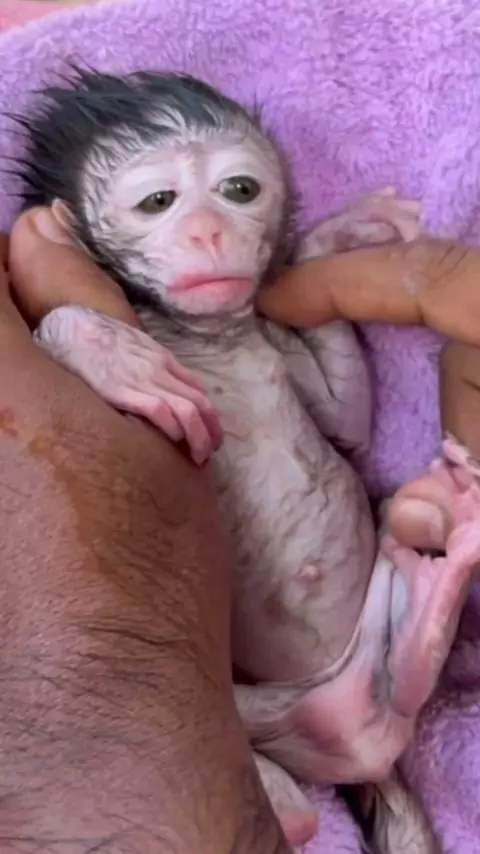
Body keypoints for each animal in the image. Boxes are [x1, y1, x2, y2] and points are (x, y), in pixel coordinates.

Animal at [14, 69, 480, 853]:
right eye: (158, 201)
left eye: (239, 190)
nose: (209, 231)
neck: (211, 340)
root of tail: (354, 740)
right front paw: (111, 353)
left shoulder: (275, 340)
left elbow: (349, 427)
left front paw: (328, 242)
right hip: (243, 709)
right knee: (294, 805)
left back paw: (433, 594)